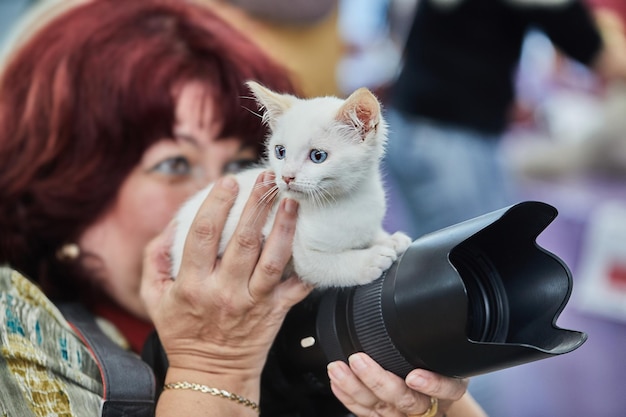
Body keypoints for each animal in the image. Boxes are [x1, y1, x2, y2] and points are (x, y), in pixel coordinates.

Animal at [169, 81, 410, 286]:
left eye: (318, 156)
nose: (286, 176)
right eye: (280, 152)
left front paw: (388, 239)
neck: (348, 200)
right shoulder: (300, 251)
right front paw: (370, 259)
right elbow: (324, 265)